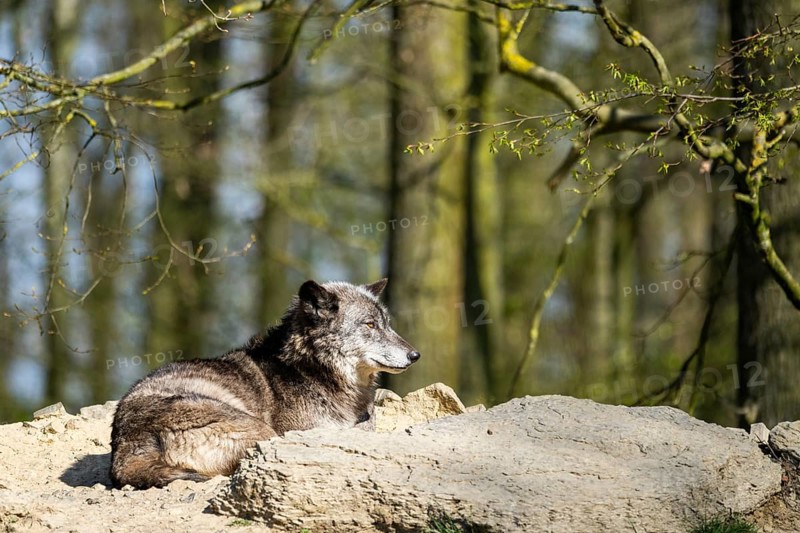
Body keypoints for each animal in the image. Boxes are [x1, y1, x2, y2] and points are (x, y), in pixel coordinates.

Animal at [110, 278, 419, 489]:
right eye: (370, 325)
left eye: (387, 323)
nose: (415, 355)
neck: (310, 367)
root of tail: (129, 443)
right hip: (261, 431)